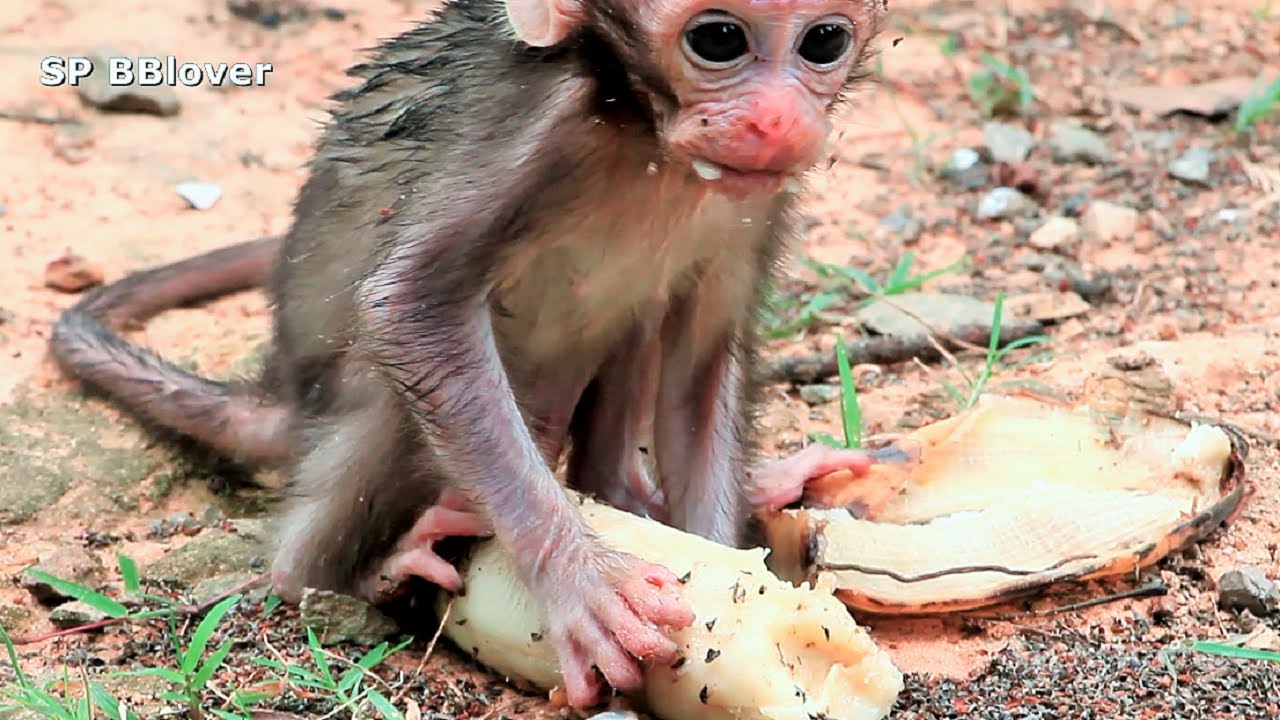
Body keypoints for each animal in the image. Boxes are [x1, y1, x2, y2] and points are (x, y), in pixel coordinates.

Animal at [48, 0, 886, 708]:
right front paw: (580, 586)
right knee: (386, 415)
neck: (645, 134)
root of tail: (283, 396)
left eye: (824, 42)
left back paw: (654, 491)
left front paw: (728, 573)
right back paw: (359, 569)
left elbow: (701, 361)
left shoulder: (758, 195)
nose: (780, 122)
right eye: (717, 39)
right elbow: (410, 306)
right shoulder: (534, 131)